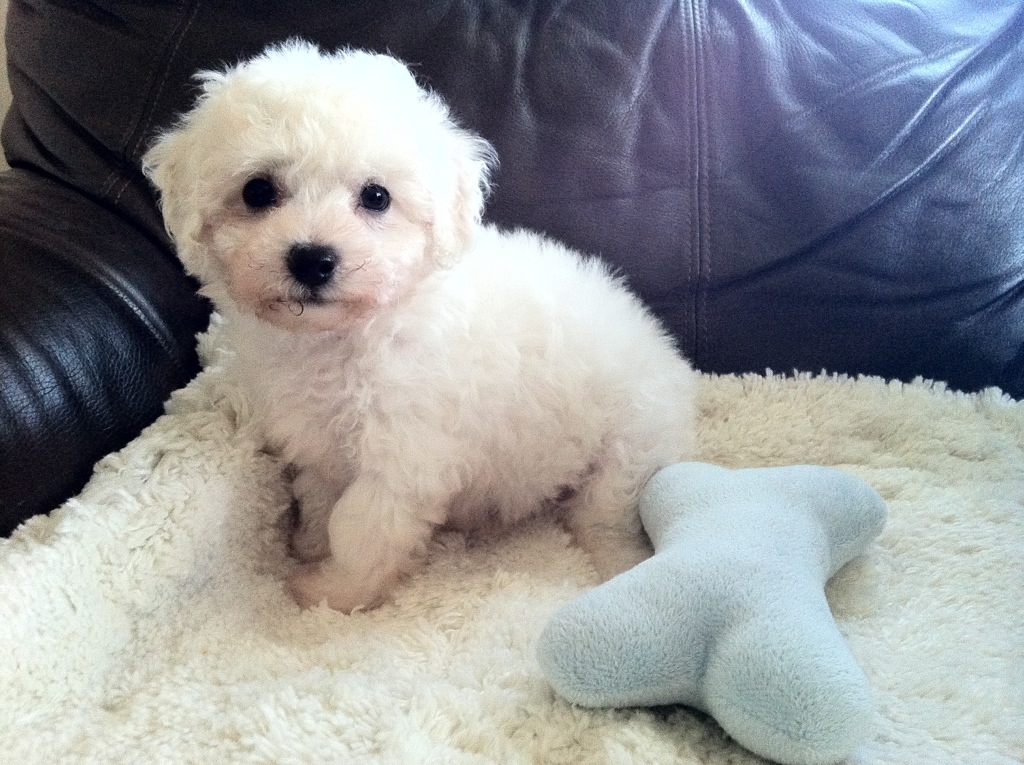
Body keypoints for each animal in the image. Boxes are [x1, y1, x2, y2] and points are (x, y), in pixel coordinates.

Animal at [143, 41, 697, 613]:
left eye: (377, 197)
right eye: (257, 191)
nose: (313, 260)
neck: (351, 334)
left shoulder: (401, 457)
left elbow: (360, 530)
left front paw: (333, 593)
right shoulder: (321, 447)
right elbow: (321, 502)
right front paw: (310, 547)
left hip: (627, 446)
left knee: (607, 516)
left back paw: (613, 560)